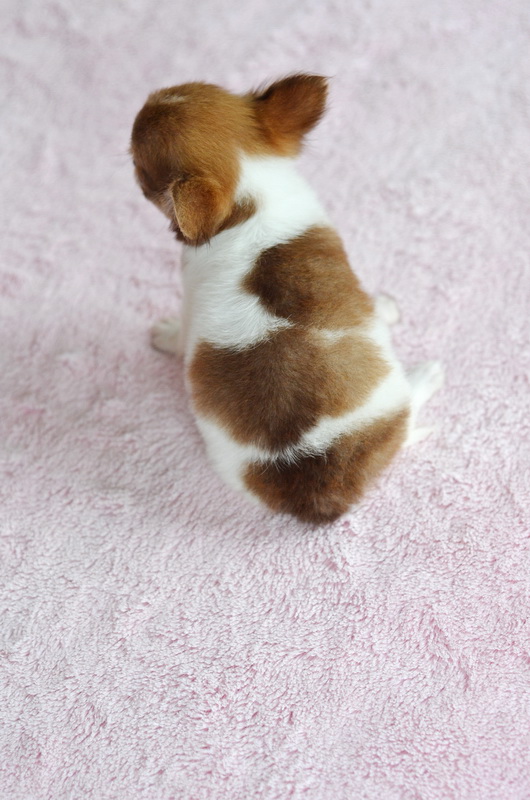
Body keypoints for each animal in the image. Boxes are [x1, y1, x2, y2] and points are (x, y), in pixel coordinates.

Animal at [130, 74, 443, 523]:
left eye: (137, 169)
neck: (250, 200)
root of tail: (319, 474)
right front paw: (383, 308)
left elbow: (179, 334)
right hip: (390, 407)